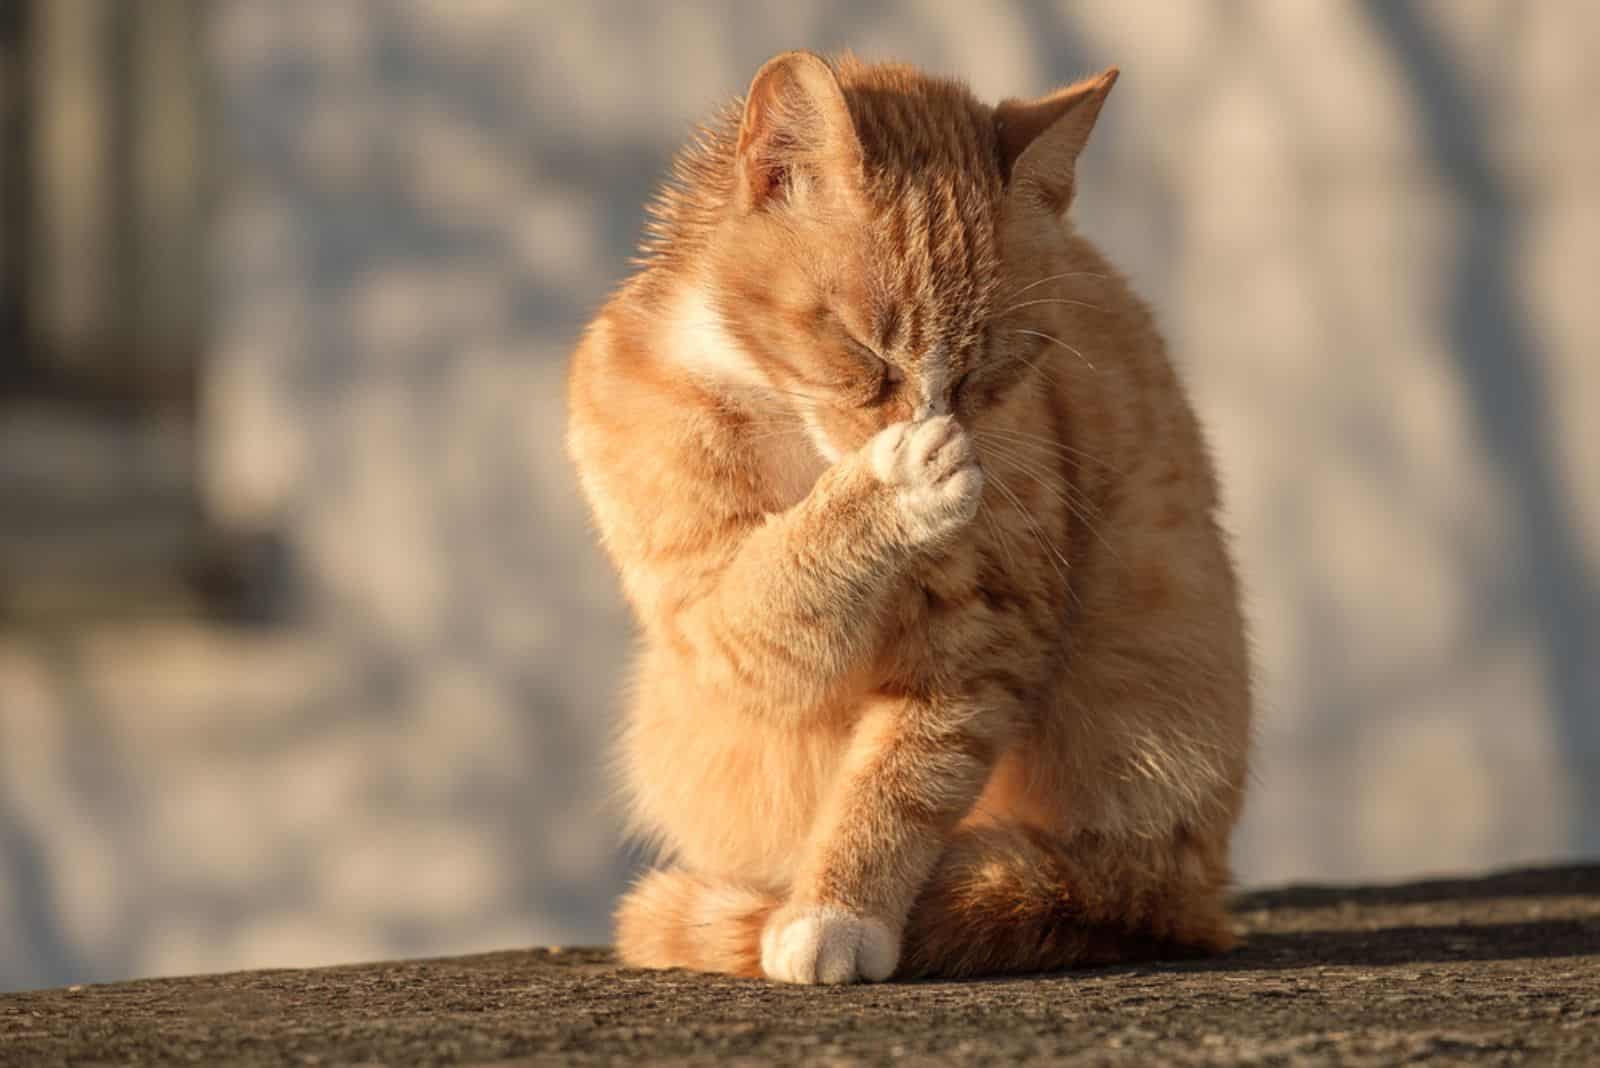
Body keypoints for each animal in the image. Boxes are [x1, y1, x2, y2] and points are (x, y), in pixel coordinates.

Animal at [569, 51, 1254, 984]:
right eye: (866, 351)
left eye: (989, 362)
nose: (935, 421)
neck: (796, 441)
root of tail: (1198, 893)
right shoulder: (710, 626)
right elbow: (777, 585)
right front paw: (889, 489)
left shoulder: (981, 636)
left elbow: (901, 781)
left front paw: (837, 911)